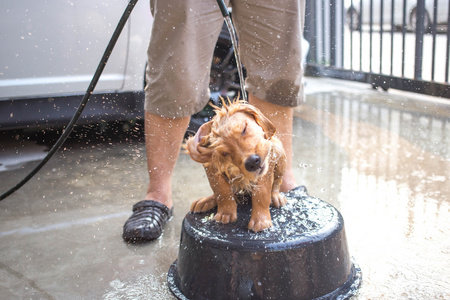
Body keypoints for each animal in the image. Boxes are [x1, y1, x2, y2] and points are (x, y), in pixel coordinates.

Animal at [185, 99, 286, 231]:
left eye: (244, 129)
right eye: (224, 153)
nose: (252, 162)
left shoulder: (268, 159)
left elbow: (262, 192)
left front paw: (261, 220)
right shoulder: (211, 166)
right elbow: (221, 190)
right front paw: (226, 213)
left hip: (279, 151)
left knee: (277, 182)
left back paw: (275, 196)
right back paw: (207, 201)